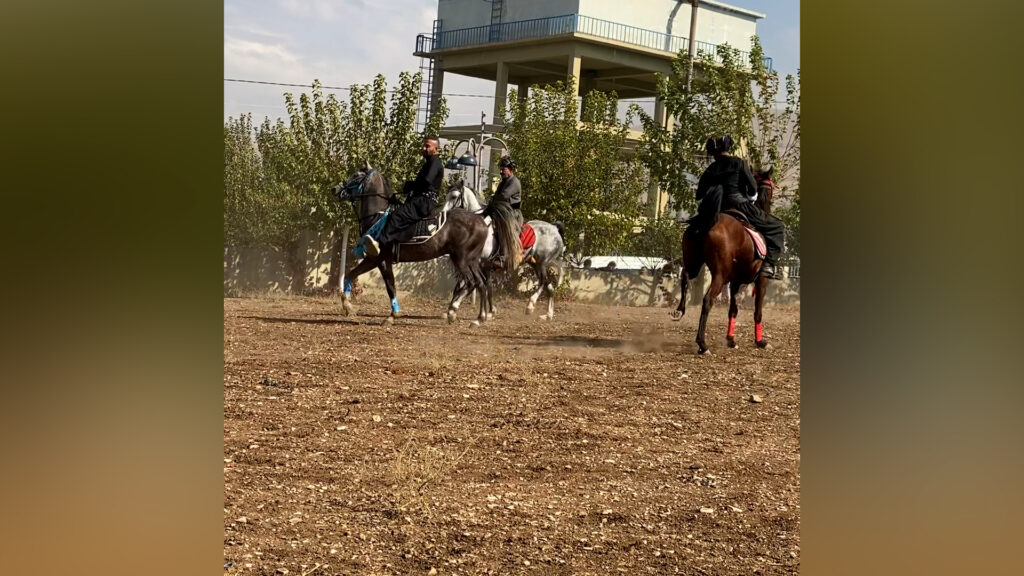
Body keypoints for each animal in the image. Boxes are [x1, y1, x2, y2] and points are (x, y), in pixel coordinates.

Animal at [331, 163, 491, 323]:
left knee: (471, 281)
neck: (378, 216)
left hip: (461, 259)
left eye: (356, 175)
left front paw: (393, 314)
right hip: (472, 261)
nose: (335, 189)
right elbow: (350, 275)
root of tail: (481, 220)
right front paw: (348, 306)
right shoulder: (376, 259)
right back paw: (479, 318)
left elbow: (390, 286)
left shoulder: (379, 259)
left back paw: (453, 311)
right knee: (480, 282)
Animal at [442, 181, 569, 319]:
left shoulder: (480, 264)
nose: (444, 214)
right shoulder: (482, 265)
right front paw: (490, 311)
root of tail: (555, 228)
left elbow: (471, 284)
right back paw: (544, 313)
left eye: (454, 196)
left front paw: (454, 308)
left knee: (545, 283)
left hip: (542, 263)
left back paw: (534, 307)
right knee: (547, 285)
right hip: (534, 263)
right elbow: (483, 286)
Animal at [671, 166, 774, 352]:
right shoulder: (761, 280)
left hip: (694, 263)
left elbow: (733, 309)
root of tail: (708, 220)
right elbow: (757, 312)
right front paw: (760, 341)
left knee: (685, 277)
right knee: (707, 300)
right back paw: (702, 343)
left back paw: (680, 310)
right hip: (720, 274)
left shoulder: (735, 282)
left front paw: (731, 339)